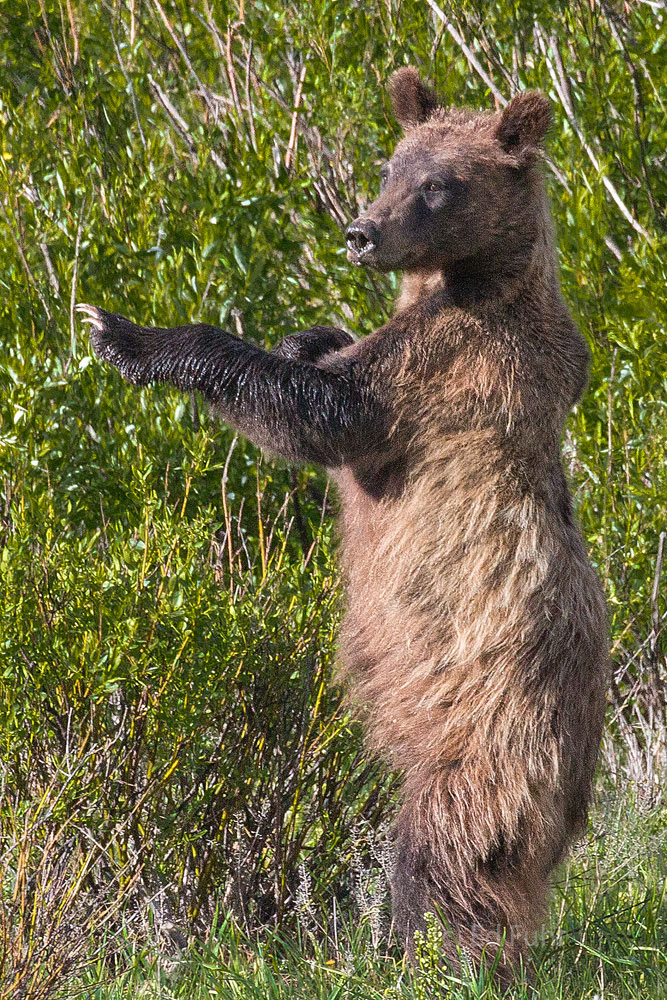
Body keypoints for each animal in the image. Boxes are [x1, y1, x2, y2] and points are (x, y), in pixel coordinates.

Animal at [78, 68, 612, 976]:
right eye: (391, 165)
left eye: (438, 185)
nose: (362, 232)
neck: (467, 280)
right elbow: (324, 370)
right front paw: (308, 332)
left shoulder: (455, 361)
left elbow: (325, 413)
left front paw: (125, 332)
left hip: (489, 723)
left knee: (447, 851)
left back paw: (425, 954)